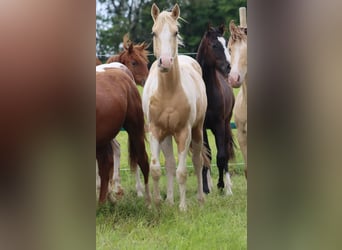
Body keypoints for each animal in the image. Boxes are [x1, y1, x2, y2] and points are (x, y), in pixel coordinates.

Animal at [142, 3, 208, 211]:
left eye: (176, 32)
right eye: (153, 33)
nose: (165, 62)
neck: (168, 92)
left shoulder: (184, 133)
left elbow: (182, 172)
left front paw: (183, 207)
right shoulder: (155, 131)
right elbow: (156, 168)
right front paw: (157, 204)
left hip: (197, 130)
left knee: (197, 162)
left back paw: (200, 199)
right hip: (166, 136)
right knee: (170, 164)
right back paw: (170, 200)